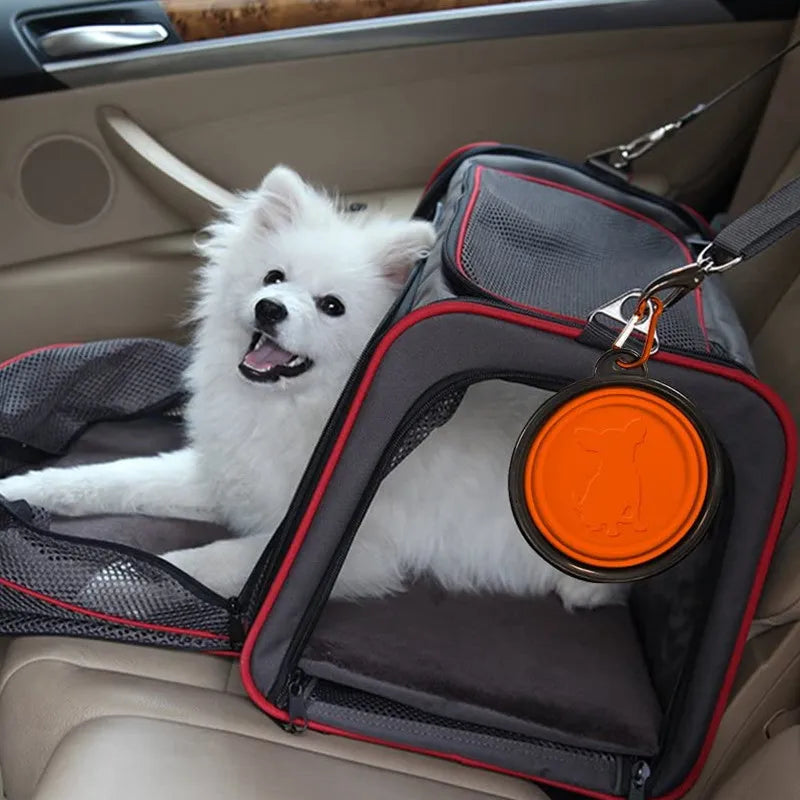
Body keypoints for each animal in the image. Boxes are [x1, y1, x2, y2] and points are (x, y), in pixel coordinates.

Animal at [0, 166, 620, 608]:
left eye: (331, 307)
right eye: (273, 277)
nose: (269, 308)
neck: (295, 409)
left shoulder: (353, 550)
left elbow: (209, 562)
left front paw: (116, 579)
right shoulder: (230, 481)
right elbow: (112, 478)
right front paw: (21, 488)